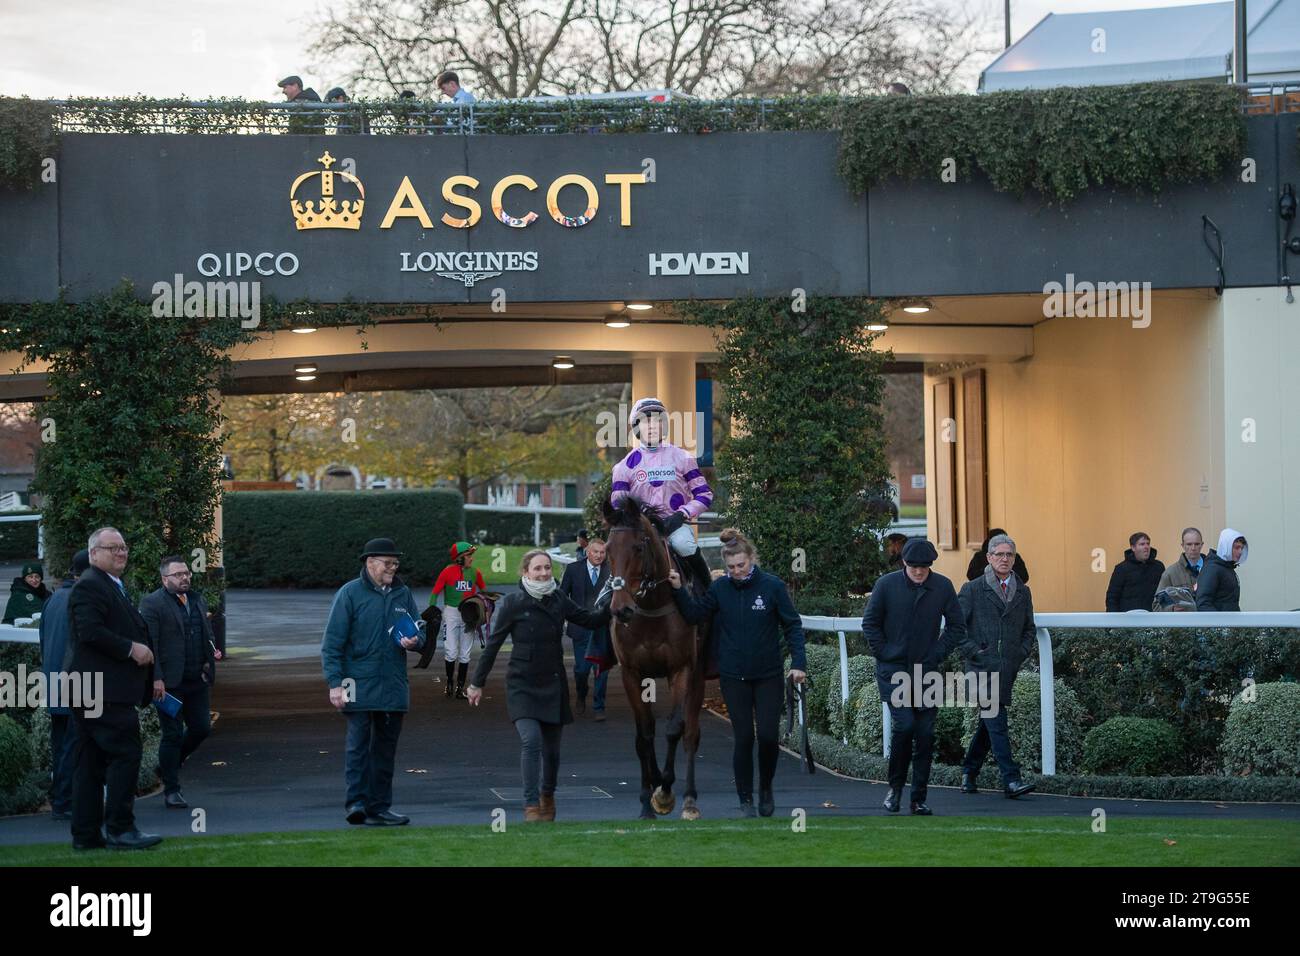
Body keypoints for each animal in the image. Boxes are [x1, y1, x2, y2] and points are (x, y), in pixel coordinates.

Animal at [600, 496, 707, 816]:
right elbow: (644, 734)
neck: (650, 607)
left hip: (699, 674)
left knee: (691, 733)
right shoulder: (632, 673)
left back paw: (689, 800)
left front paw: (665, 790)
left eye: (638, 547)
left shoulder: (681, 669)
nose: (621, 609)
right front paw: (647, 796)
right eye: (607, 550)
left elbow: (673, 729)